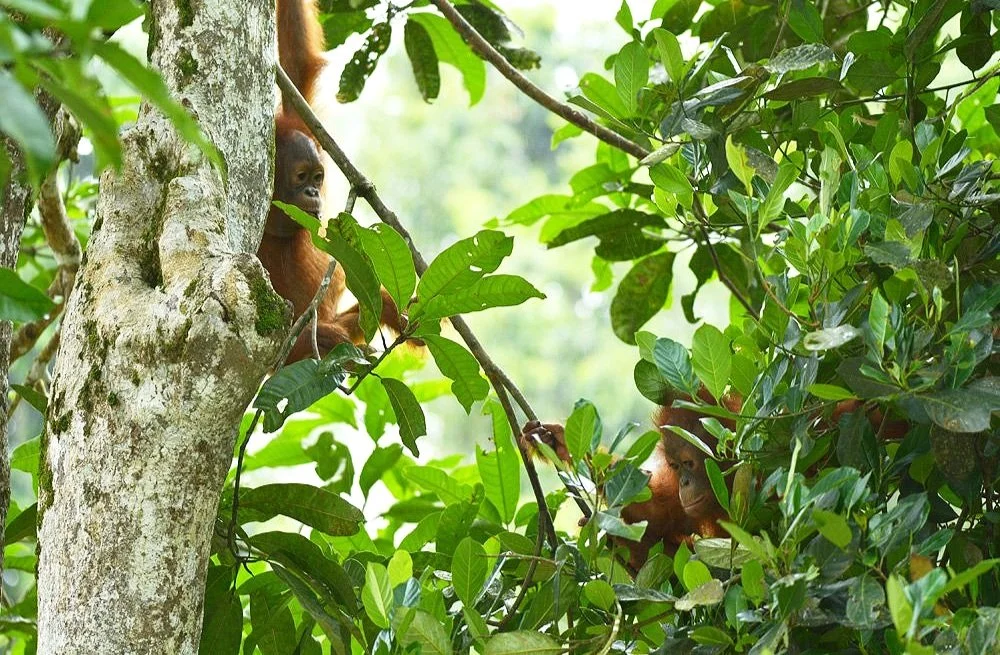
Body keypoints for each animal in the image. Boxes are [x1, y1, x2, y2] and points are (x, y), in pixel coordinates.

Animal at [260, 0, 408, 363]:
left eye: (317, 177)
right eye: (301, 178)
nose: (314, 192)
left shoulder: (301, 125)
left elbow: (298, 61)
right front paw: (324, 338)